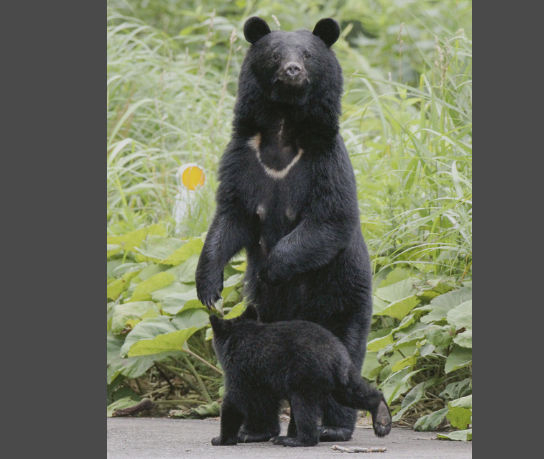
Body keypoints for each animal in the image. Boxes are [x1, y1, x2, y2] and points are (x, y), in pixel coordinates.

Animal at [198, 17, 376, 442]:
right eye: (276, 54)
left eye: (308, 54)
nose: (293, 71)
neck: (282, 128)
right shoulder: (243, 158)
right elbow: (231, 217)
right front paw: (209, 287)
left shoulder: (326, 159)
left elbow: (330, 218)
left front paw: (270, 269)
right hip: (268, 318)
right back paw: (258, 431)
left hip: (343, 296)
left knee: (346, 356)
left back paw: (332, 428)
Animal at [208, 308, 392, 448]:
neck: (239, 335)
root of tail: (334, 355)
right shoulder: (260, 377)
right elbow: (261, 400)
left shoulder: (239, 370)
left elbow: (234, 400)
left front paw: (222, 439)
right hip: (343, 376)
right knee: (352, 393)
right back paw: (381, 415)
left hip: (305, 376)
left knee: (304, 408)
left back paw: (295, 440)